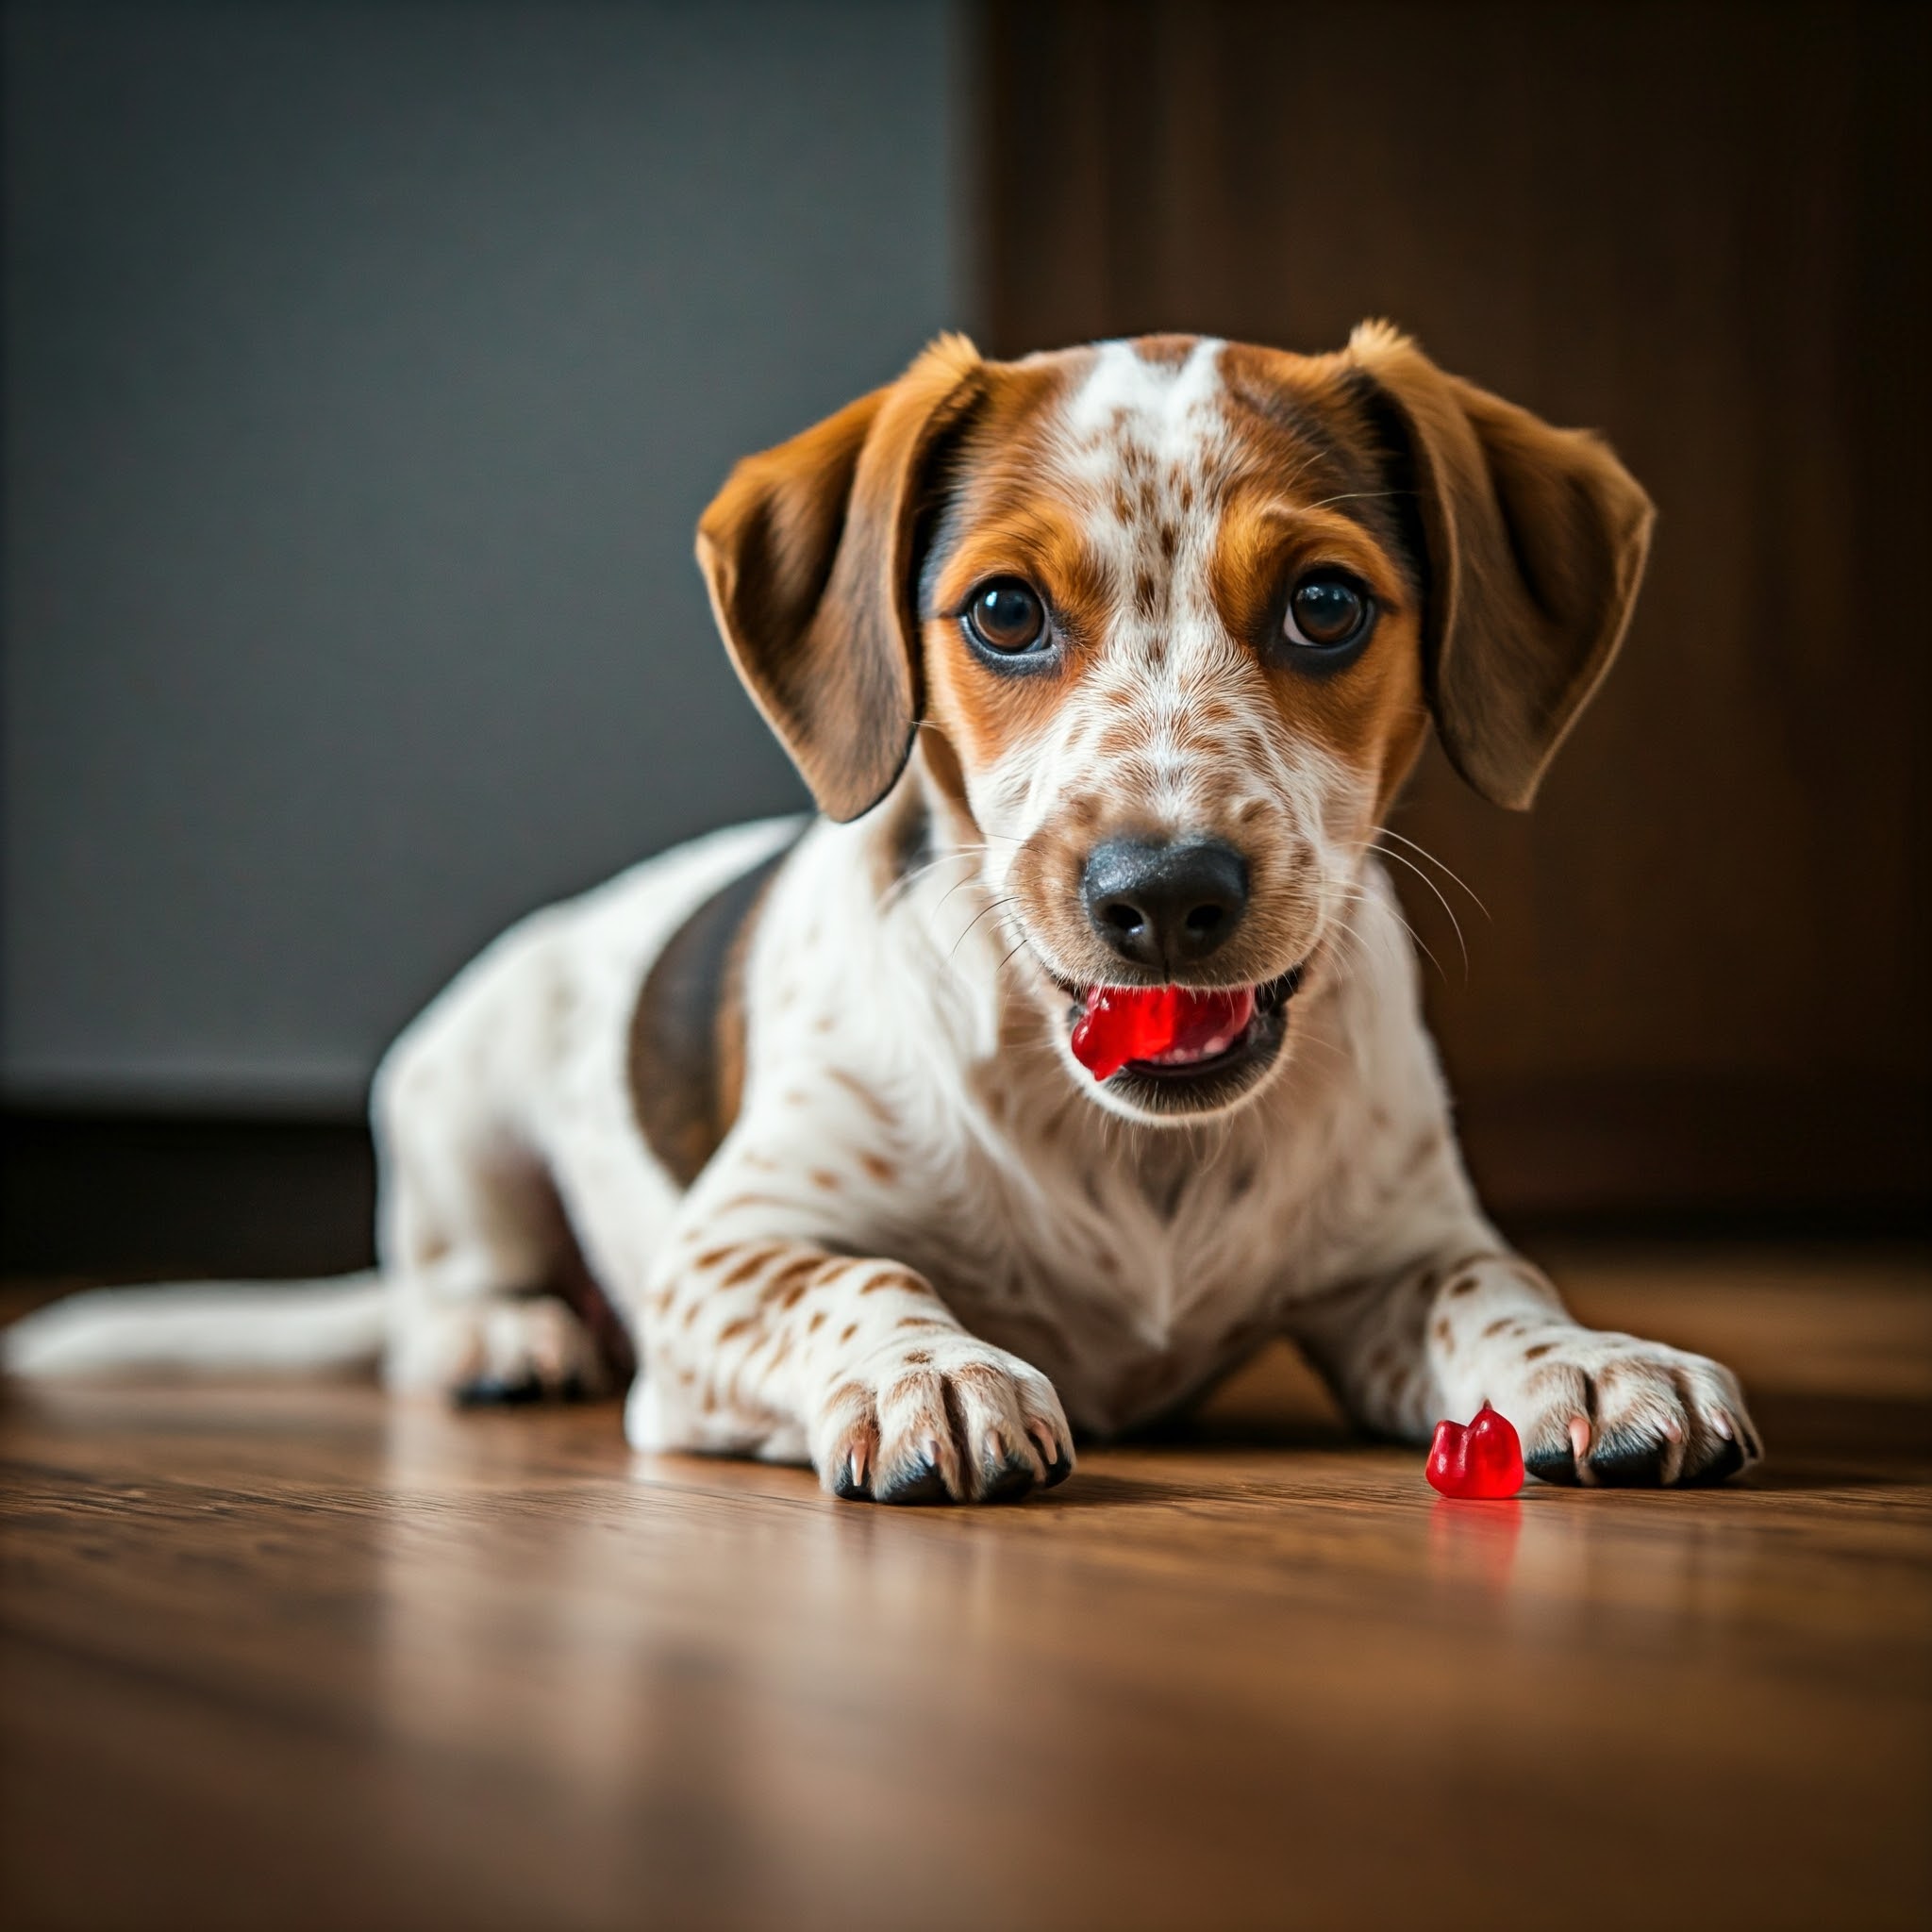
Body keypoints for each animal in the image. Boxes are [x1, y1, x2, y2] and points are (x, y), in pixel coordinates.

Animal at [4, 325, 1769, 1499]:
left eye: (1326, 603)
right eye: (1003, 610)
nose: (1163, 893)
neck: (1136, 1152)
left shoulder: (1403, 1255)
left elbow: (1499, 1292)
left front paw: (1589, 1356)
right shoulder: (731, 1252)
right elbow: (863, 1281)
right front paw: (937, 1373)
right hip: (457, 1110)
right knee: (435, 1297)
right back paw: (505, 1338)